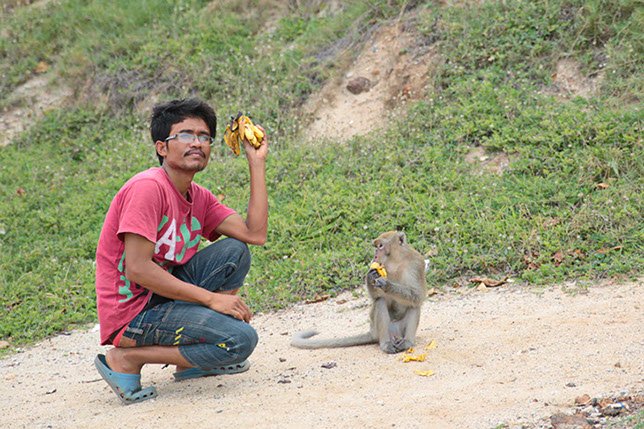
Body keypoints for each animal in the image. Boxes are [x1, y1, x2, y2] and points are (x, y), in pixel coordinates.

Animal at [291, 231, 427, 354]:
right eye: (376, 246)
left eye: (380, 246)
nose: (375, 255)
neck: (395, 261)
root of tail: (373, 333)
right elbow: (376, 297)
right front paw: (370, 277)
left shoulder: (416, 263)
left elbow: (417, 296)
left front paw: (387, 285)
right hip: (380, 329)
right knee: (380, 302)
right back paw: (386, 344)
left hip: (399, 329)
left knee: (414, 305)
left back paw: (407, 343)